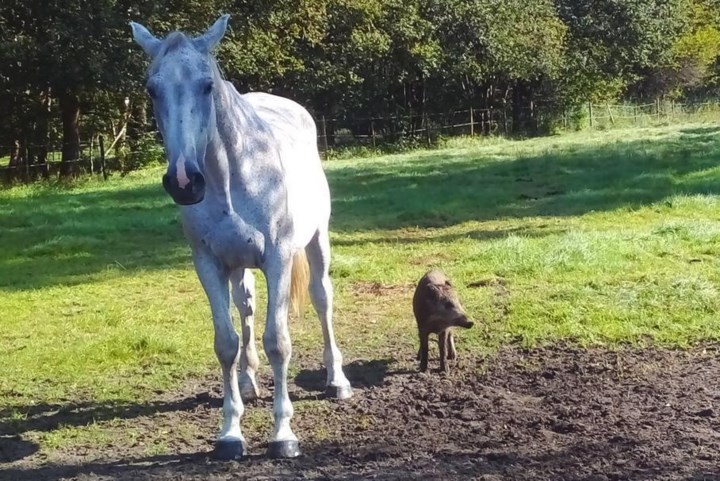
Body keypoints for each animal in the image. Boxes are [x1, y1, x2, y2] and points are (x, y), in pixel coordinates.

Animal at [131, 14, 354, 458]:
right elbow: (226, 342)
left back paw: (336, 380)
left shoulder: (279, 258)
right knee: (246, 306)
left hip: (316, 241)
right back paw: (249, 383)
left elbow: (278, 342)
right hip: (239, 265)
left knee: (322, 299)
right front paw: (230, 433)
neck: (230, 175)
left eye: (207, 85)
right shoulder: (210, 264)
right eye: (152, 89)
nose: (184, 181)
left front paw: (283, 435)